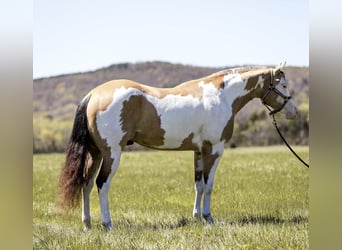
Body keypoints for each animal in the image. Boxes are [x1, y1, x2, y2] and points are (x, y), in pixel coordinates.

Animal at [58, 63, 296, 230]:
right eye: (283, 85)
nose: (293, 112)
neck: (221, 96)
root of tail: (93, 95)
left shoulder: (199, 151)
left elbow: (199, 185)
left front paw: (197, 217)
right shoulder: (215, 149)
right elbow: (209, 186)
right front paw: (209, 218)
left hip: (95, 153)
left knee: (86, 183)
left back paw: (88, 224)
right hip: (112, 153)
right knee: (102, 184)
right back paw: (108, 224)